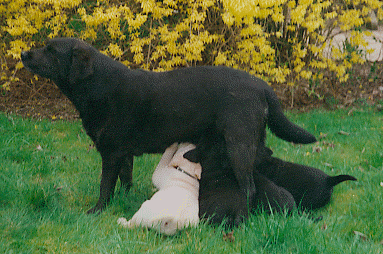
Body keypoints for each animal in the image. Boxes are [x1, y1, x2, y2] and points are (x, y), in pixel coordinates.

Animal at [20, 37, 318, 213]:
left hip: (238, 143)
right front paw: (125, 201)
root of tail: (262, 85)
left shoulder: (111, 153)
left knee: (248, 185)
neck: (99, 86)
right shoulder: (124, 154)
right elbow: (126, 181)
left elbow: (105, 185)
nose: (23, 53)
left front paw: (97, 210)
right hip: (253, 140)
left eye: (50, 50)